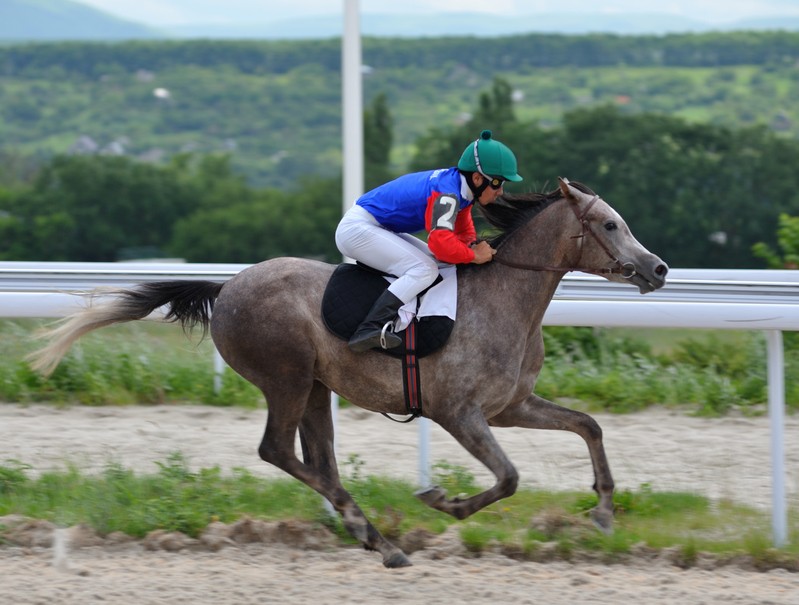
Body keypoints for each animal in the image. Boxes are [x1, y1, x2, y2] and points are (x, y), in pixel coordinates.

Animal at [29, 178, 668, 568]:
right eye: (610, 225)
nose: (659, 268)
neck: (505, 299)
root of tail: (227, 286)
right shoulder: (458, 413)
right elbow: (509, 477)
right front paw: (444, 501)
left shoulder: (510, 408)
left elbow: (588, 426)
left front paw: (604, 511)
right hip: (286, 378)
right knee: (277, 451)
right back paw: (378, 538)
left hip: (315, 386)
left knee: (317, 461)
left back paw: (374, 537)